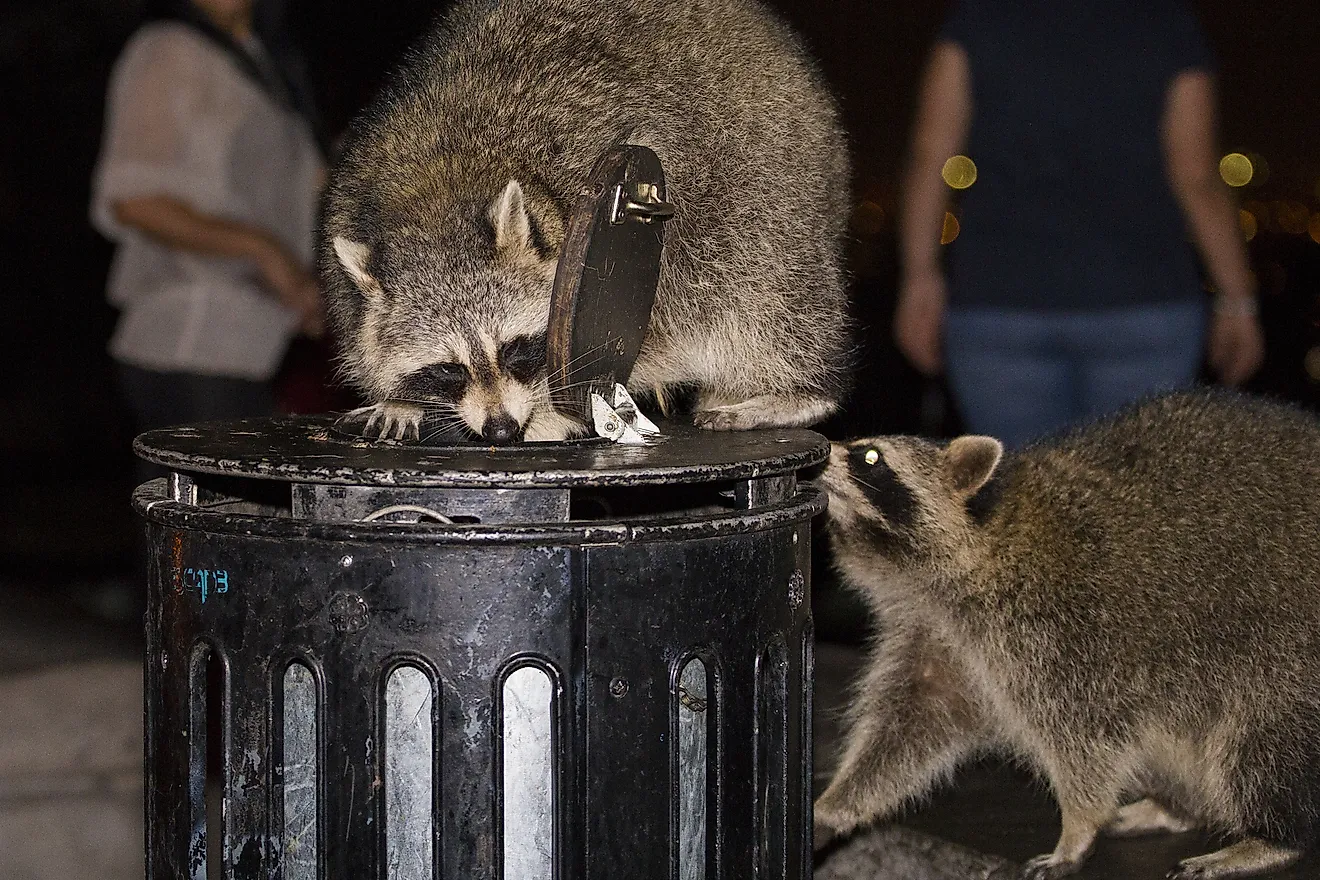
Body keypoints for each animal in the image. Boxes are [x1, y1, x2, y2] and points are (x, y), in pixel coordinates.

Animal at [323, 0, 850, 443]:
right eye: (448, 369)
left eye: (514, 350)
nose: (501, 430)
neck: (436, 192)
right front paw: (402, 400)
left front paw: (549, 414)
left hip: (770, 182)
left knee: (759, 292)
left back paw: (801, 392)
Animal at [813, 393, 1320, 880]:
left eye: (870, 456)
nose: (819, 451)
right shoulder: (938, 636)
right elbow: (909, 723)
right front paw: (836, 805)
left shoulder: (1063, 627)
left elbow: (1085, 737)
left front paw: (1078, 827)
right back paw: (1177, 808)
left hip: (1285, 659)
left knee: (1259, 738)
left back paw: (1273, 838)